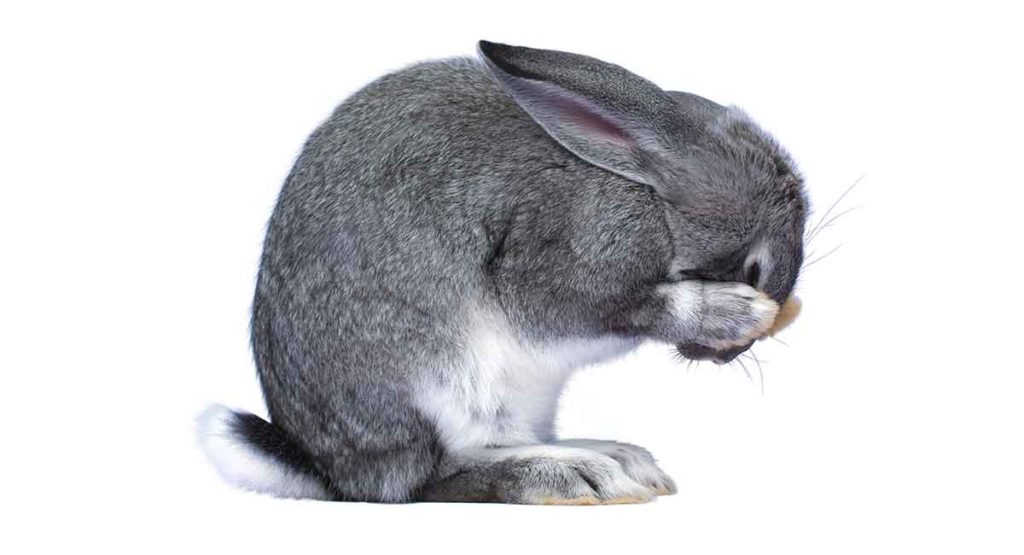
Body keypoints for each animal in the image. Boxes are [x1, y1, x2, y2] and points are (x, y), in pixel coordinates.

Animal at [197, 40, 808, 504]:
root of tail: (326, 468)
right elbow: (627, 305)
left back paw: (616, 459)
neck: (647, 189)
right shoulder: (561, 265)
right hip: (444, 379)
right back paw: (574, 476)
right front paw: (733, 313)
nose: (724, 357)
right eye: (755, 267)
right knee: (431, 477)